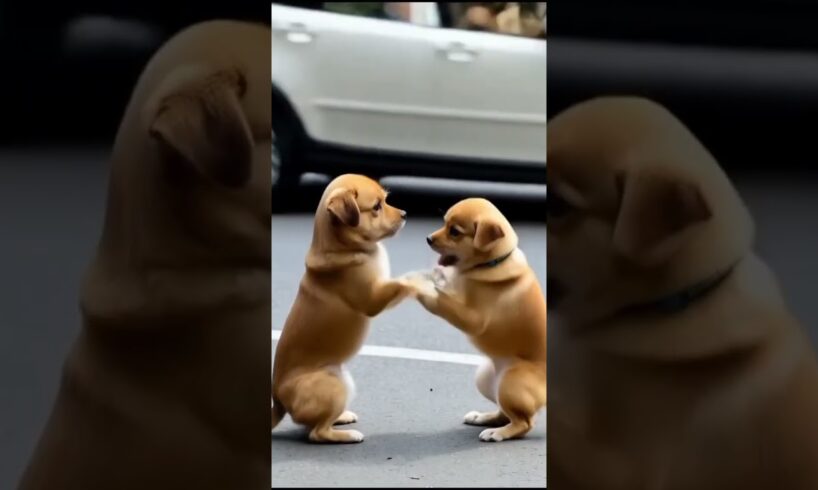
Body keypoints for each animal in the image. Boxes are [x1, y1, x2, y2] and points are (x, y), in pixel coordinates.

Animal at [270, 173, 412, 444]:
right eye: (377, 206)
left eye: (386, 200)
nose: (404, 214)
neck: (341, 246)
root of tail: (279, 402)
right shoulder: (373, 299)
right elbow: (402, 283)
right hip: (335, 385)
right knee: (316, 433)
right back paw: (346, 435)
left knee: (314, 424)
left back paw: (341, 418)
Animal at [404, 197, 544, 442]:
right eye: (444, 223)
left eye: (455, 232)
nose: (428, 238)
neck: (491, 263)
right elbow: (447, 285)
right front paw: (435, 275)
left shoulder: (473, 320)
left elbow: (443, 302)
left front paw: (424, 287)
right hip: (486, 379)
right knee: (504, 413)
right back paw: (483, 418)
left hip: (511, 383)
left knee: (524, 423)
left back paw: (497, 433)